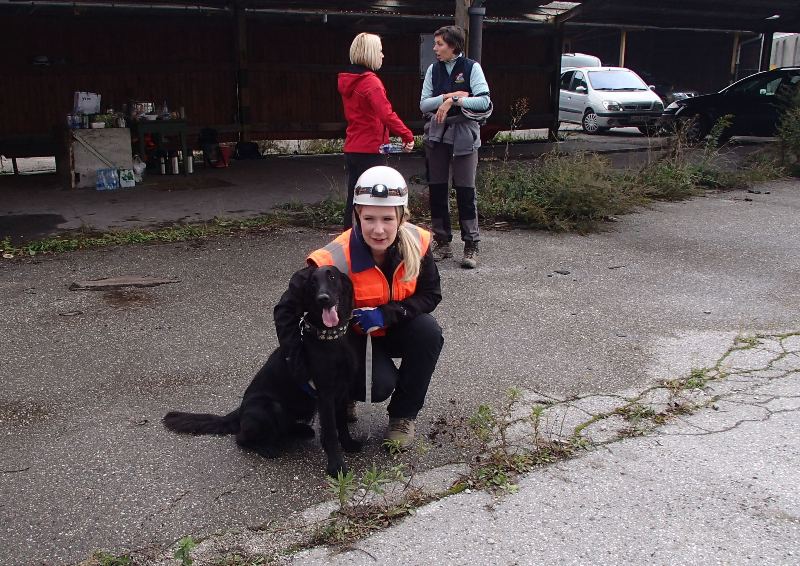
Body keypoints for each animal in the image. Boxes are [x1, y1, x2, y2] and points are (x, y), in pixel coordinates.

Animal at [163, 268, 362, 480]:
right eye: (312, 283)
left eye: (332, 277)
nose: (323, 298)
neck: (332, 337)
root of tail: (240, 410)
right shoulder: (325, 394)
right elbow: (331, 433)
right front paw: (336, 467)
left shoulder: (342, 390)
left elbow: (342, 424)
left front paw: (349, 445)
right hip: (270, 408)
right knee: (241, 438)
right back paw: (267, 448)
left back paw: (301, 431)